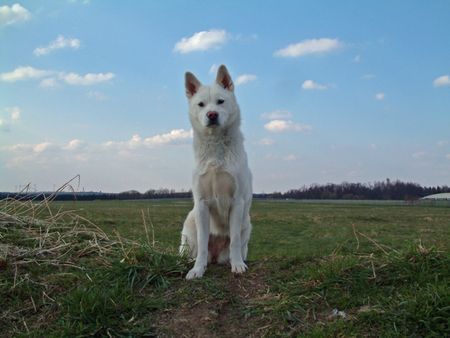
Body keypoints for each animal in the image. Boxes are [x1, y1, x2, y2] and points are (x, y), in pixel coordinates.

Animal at [179, 64, 253, 278]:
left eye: (221, 101)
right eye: (201, 104)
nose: (212, 114)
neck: (216, 148)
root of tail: (215, 257)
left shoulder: (237, 202)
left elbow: (234, 240)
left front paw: (237, 266)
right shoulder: (202, 203)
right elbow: (203, 244)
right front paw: (197, 270)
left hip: (247, 224)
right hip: (190, 224)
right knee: (195, 249)